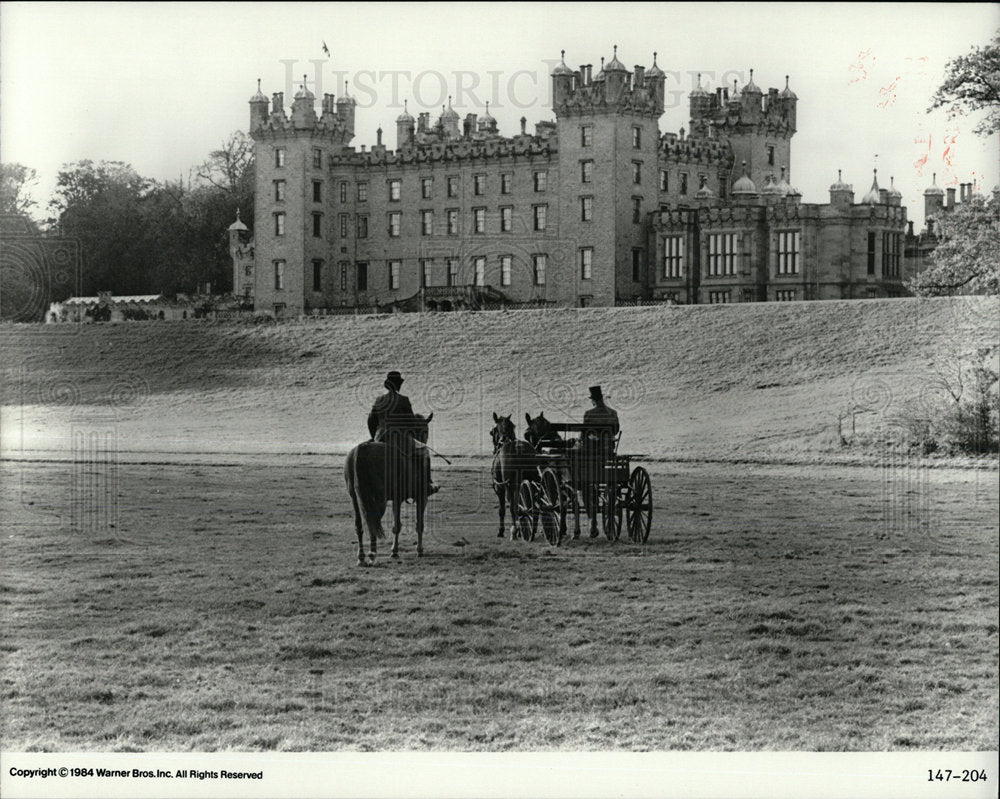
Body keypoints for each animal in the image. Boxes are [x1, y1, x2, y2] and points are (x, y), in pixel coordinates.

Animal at [346, 410, 432, 564]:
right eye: (425, 431)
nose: (424, 443)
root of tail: (361, 449)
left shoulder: (397, 498)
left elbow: (397, 525)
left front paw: (395, 551)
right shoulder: (420, 497)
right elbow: (417, 524)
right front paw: (417, 550)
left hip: (355, 498)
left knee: (360, 525)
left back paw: (361, 557)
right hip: (378, 499)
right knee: (373, 522)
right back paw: (371, 554)